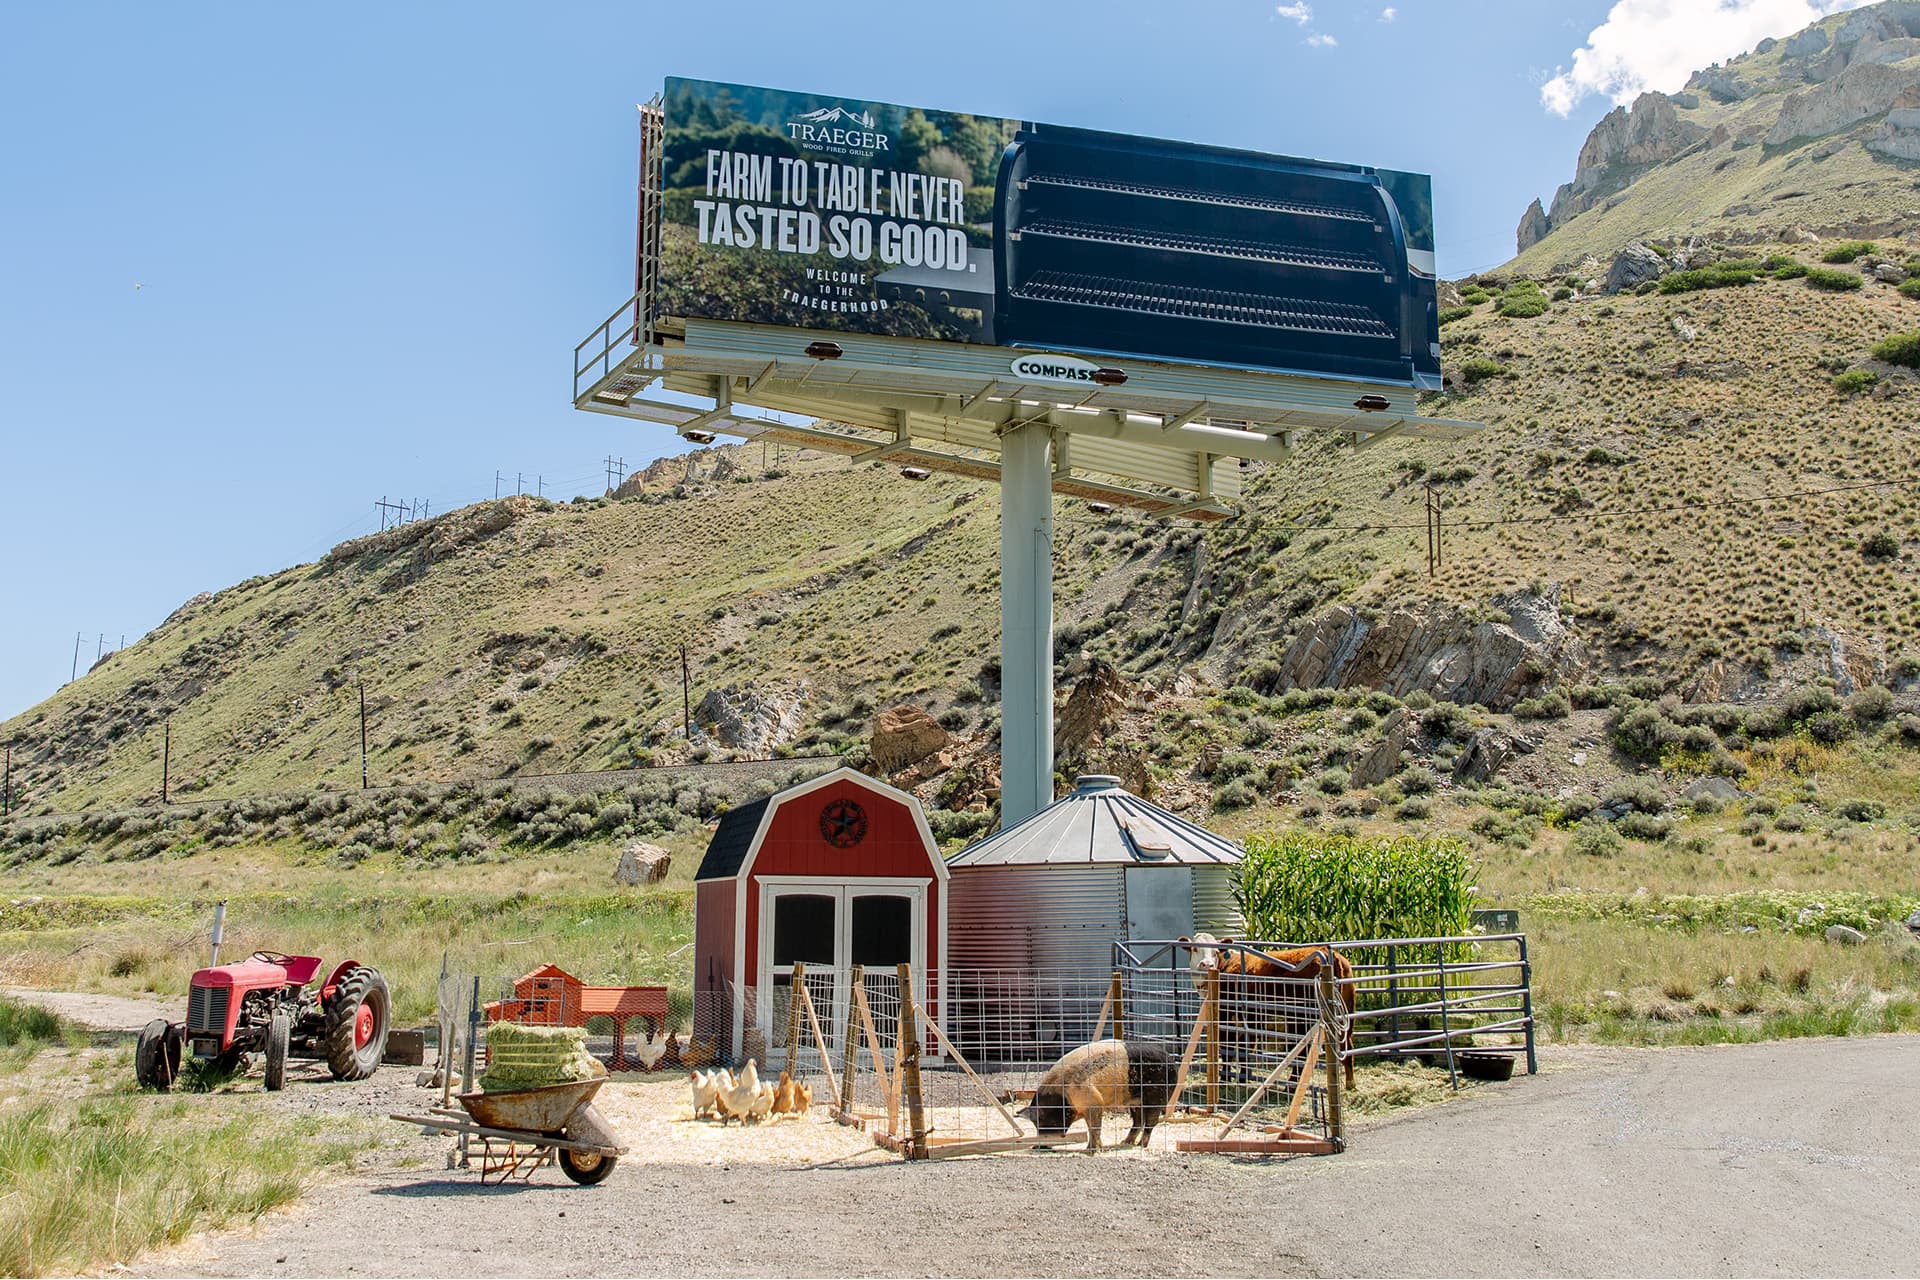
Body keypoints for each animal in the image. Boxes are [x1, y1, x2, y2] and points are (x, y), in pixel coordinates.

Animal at [1021, 1036, 1167, 1159]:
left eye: (1042, 1122)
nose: (1037, 1147)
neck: (1063, 1099)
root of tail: (1168, 1057)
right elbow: (1091, 1128)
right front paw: (1098, 1148)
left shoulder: (1094, 1102)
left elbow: (1094, 1128)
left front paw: (1089, 1152)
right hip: (1135, 1102)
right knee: (1138, 1121)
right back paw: (1125, 1142)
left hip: (1157, 1096)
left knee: (1151, 1122)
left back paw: (1141, 1145)